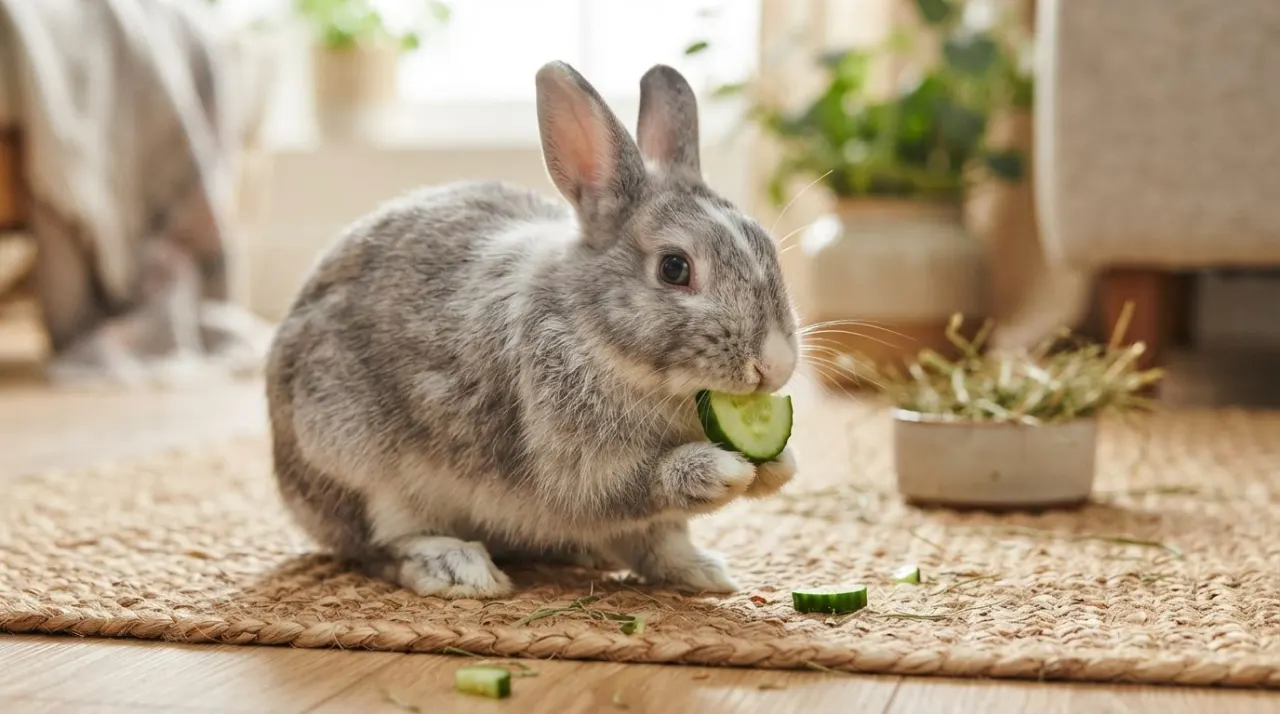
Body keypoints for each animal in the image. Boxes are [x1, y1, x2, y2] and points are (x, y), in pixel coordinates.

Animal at [264, 60, 800, 599]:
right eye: (674, 268)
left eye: (766, 244)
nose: (775, 365)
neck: (594, 335)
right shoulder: (578, 465)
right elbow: (632, 488)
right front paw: (722, 471)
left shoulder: (646, 520)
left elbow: (661, 541)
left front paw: (745, 516)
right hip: (358, 467)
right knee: (380, 545)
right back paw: (459, 569)